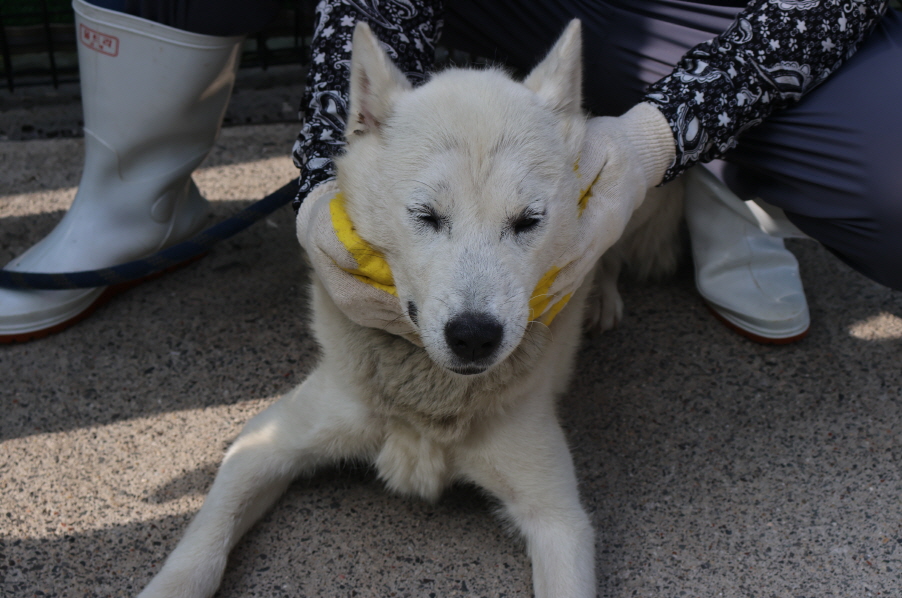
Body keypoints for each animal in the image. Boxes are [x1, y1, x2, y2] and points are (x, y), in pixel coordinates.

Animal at [138, 16, 680, 596]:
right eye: (426, 215)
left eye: (529, 221)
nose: (474, 335)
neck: (428, 404)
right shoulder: (262, 443)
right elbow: (204, 544)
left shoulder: (560, 518)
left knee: (611, 251)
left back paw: (602, 297)